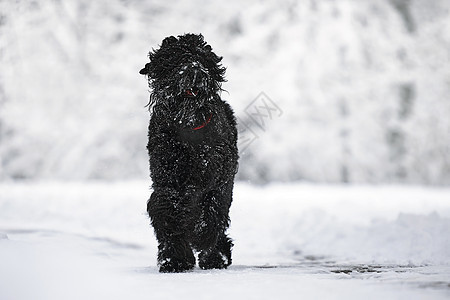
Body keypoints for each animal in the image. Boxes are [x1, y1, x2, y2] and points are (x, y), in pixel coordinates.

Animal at [140, 33, 239, 272]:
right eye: (175, 59)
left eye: (203, 59)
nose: (194, 70)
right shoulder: (166, 179)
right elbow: (166, 208)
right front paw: (174, 259)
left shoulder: (216, 180)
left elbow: (211, 211)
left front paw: (201, 237)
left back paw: (216, 257)